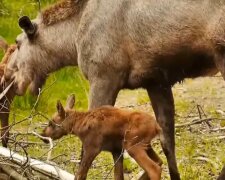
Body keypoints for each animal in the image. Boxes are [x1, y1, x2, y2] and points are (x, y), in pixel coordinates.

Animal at [2, 0, 225, 179]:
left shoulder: (103, 78)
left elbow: (86, 154)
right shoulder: (156, 81)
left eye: (17, 43)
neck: (72, 39)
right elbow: (167, 143)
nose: (8, 74)